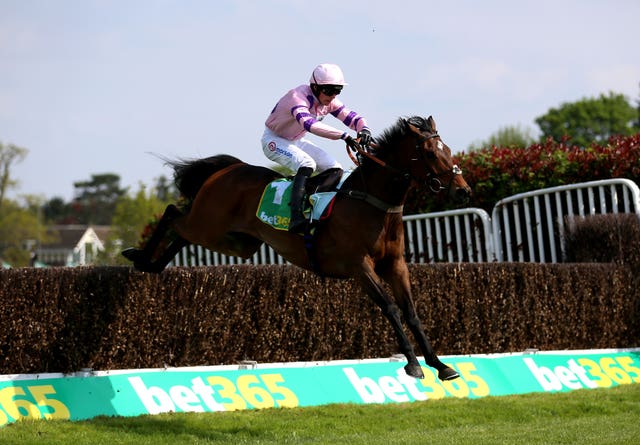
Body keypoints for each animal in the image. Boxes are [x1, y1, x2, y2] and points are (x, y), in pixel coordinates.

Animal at [124, 116, 470, 380]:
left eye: (449, 150)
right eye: (429, 153)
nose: (463, 191)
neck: (372, 202)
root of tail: (229, 169)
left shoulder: (395, 264)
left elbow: (411, 311)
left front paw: (440, 364)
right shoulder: (359, 266)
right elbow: (390, 308)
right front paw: (412, 364)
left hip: (233, 241)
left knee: (182, 233)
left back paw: (151, 264)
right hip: (207, 223)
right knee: (173, 213)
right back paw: (138, 256)